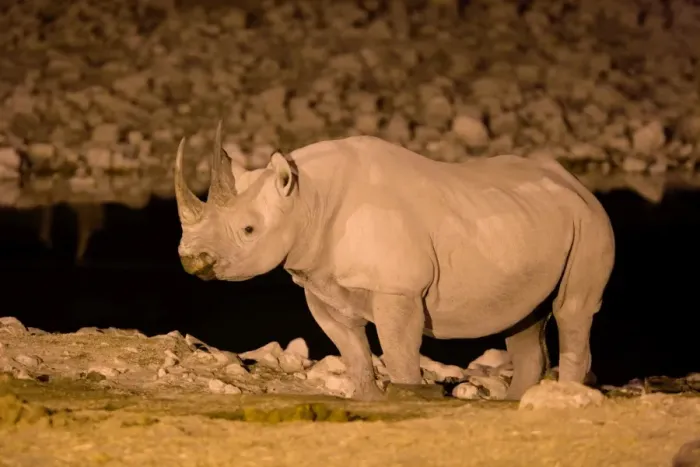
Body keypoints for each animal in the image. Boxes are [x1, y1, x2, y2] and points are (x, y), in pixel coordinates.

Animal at [174, 122, 615, 401]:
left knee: (572, 309)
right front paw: (369, 401)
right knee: (523, 318)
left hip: (591, 223)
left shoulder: (398, 289)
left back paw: (564, 395)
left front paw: (407, 397)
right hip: (531, 223)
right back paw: (515, 402)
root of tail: (577, 183)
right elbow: (353, 351)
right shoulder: (320, 284)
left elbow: (399, 350)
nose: (191, 259)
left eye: (248, 230)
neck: (306, 200)